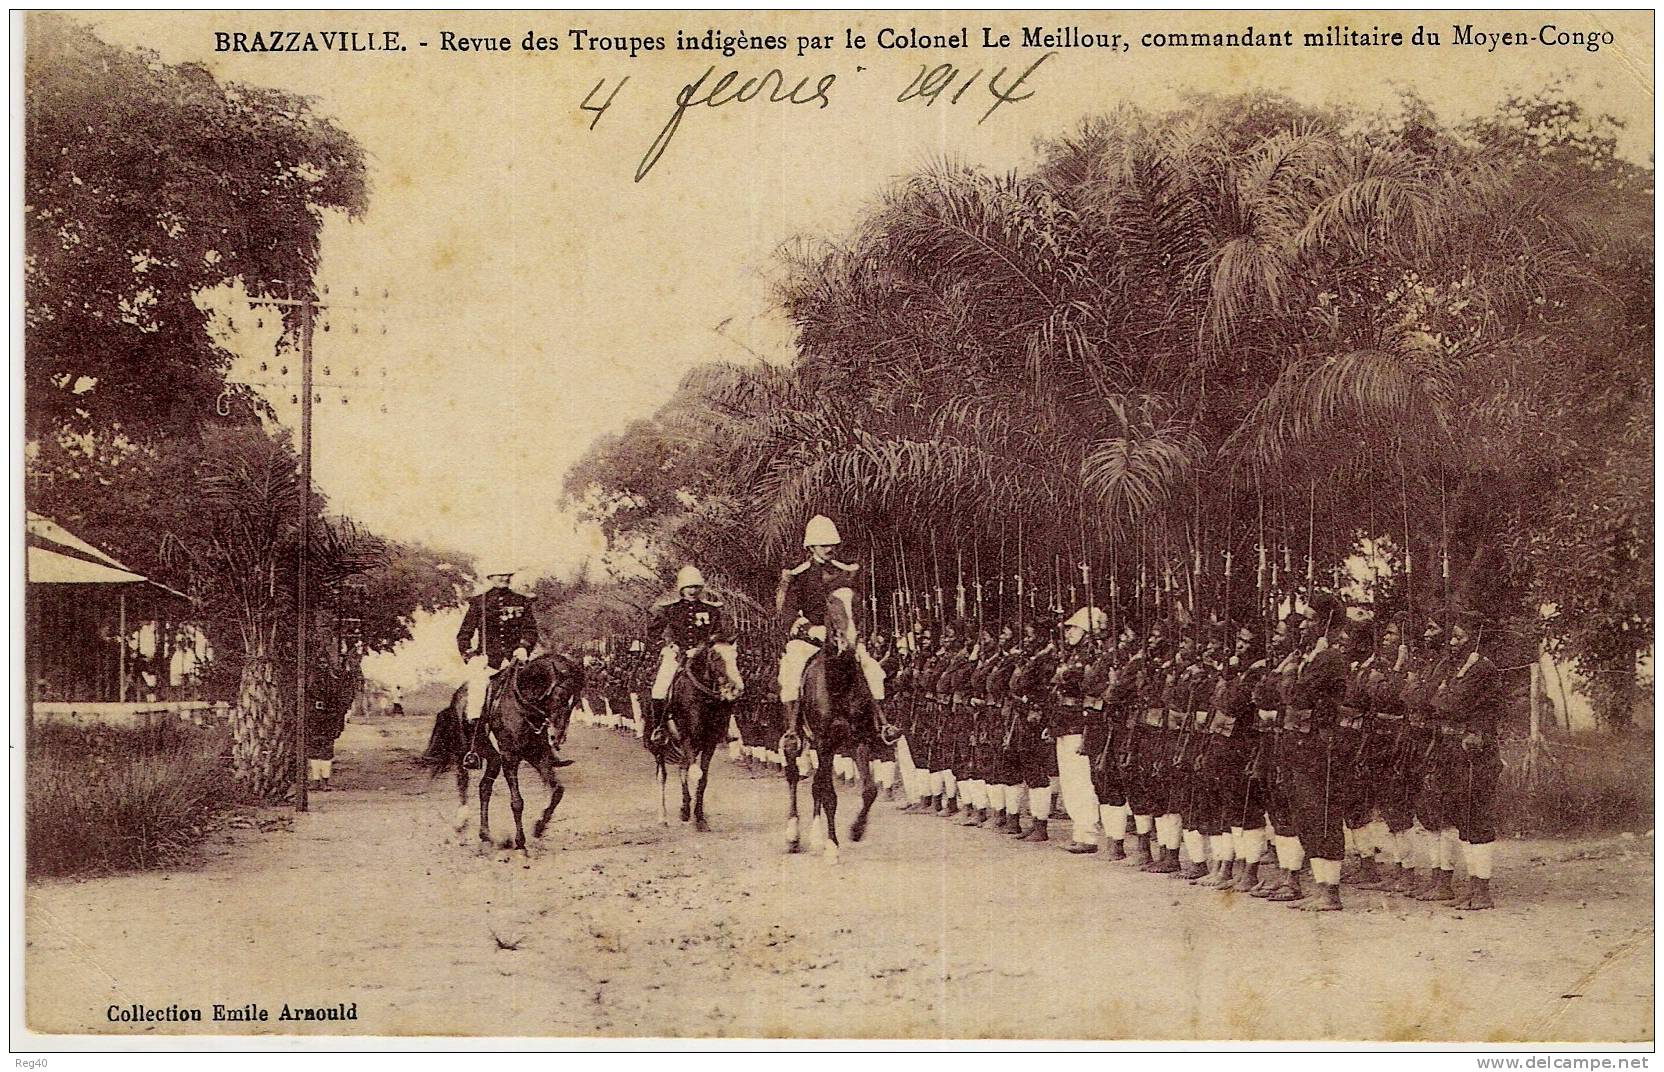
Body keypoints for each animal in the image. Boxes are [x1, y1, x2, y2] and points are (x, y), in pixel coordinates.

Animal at [422, 652, 585, 852]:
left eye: (575, 701)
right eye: (560, 697)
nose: (557, 737)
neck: (522, 706)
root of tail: (457, 697)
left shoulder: (537, 755)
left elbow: (557, 791)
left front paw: (539, 827)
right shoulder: (509, 758)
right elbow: (517, 802)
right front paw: (520, 842)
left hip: (493, 759)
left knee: (484, 788)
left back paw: (485, 835)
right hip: (463, 752)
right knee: (462, 782)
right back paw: (461, 824)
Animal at [648, 645, 742, 828]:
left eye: (735, 656)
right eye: (716, 657)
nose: (737, 689)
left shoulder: (709, 743)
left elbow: (702, 778)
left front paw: (699, 816)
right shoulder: (687, 739)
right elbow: (695, 774)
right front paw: (691, 813)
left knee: (683, 767)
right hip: (660, 747)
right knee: (662, 776)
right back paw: (663, 816)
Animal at [785, 585, 891, 865]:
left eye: (857, 604)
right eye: (831, 606)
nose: (849, 643)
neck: (838, 682)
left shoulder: (859, 740)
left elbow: (869, 790)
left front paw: (856, 830)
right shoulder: (825, 744)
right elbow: (829, 795)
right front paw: (832, 847)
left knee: (816, 785)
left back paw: (815, 837)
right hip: (799, 740)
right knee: (793, 775)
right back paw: (793, 835)